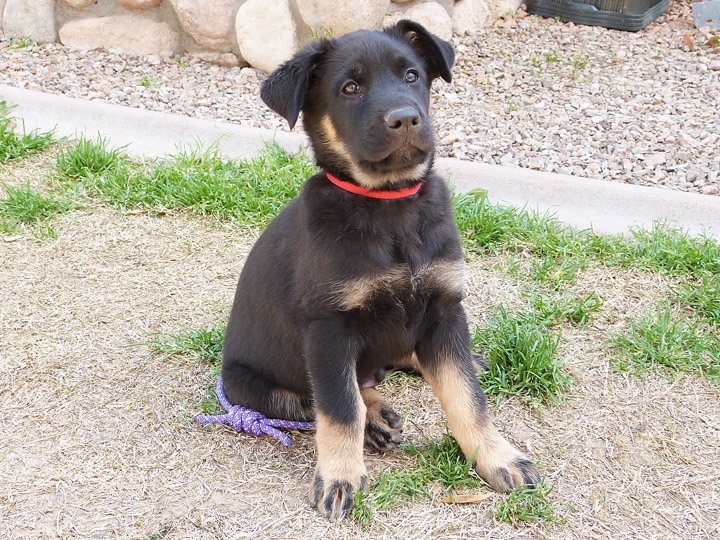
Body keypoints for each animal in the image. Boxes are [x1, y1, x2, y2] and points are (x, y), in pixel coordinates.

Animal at [222, 21, 536, 520]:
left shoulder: (445, 308)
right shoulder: (329, 328)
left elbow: (467, 399)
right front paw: (340, 477)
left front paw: (497, 456)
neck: (389, 206)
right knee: (324, 395)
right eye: (349, 88)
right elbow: (339, 408)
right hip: (247, 384)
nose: (405, 119)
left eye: (412, 76)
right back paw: (374, 419)